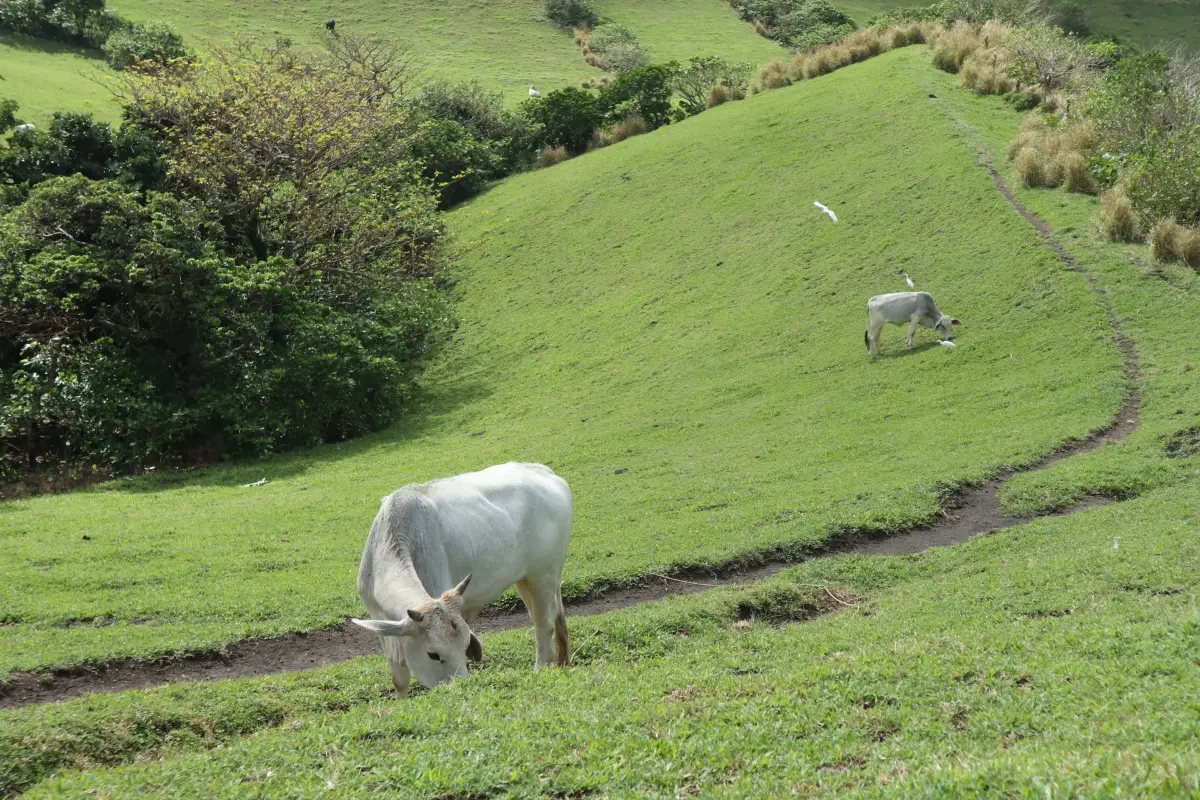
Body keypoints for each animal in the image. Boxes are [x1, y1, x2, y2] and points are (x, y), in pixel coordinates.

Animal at [350, 462, 571, 695]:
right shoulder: (381, 625)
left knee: (543, 623)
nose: (461, 689)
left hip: (543, 575)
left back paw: (541, 668)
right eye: (433, 654)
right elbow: (399, 681)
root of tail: (545, 472)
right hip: (527, 579)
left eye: (465, 647)